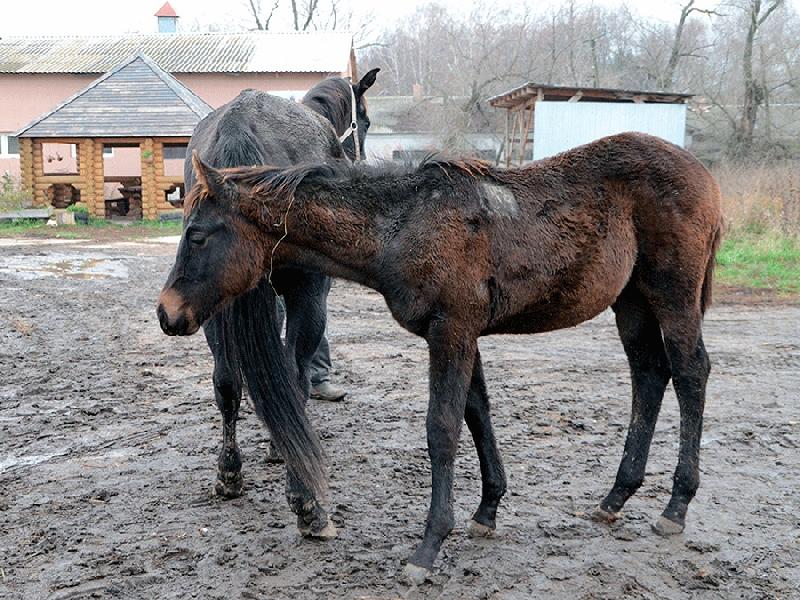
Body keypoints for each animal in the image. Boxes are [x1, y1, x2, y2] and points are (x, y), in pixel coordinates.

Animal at [157, 132, 723, 583]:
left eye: (197, 235)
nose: (167, 313)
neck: (404, 225)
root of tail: (704, 174)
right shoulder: (465, 334)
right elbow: (477, 413)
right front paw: (487, 510)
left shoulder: (450, 331)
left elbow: (442, 428)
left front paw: (428, 546)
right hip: (631, 301)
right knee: (648, 375)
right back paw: (615, 497)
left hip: (671, 293)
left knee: (690, 373)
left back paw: (676, 505)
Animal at [177, 68, 379, 539]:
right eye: (364, 119)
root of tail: (239, 124)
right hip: (307, 294)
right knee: (292, 373)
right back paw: (306, 500)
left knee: (227, 382)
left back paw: (229, 473)